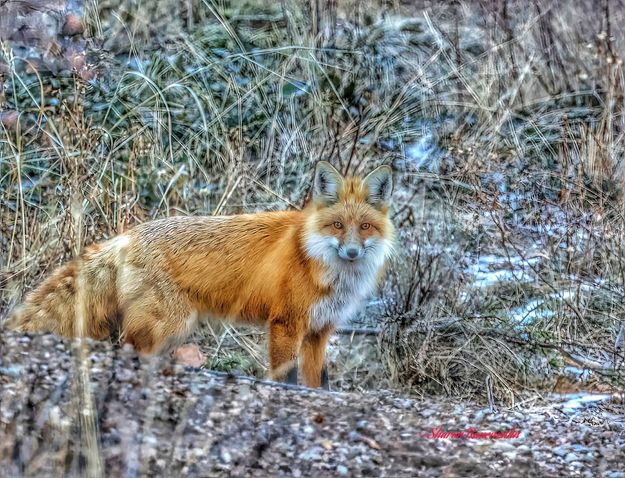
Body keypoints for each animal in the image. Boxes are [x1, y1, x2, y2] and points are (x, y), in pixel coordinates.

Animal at [7, 162, 392, 386]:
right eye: (337, 226)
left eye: (365, 227)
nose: (352, 252)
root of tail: (127, 235)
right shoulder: (286, 324)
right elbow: (286, 378)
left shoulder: (319, 331)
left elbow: (319, 384)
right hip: (169, 325)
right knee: (129, 348)